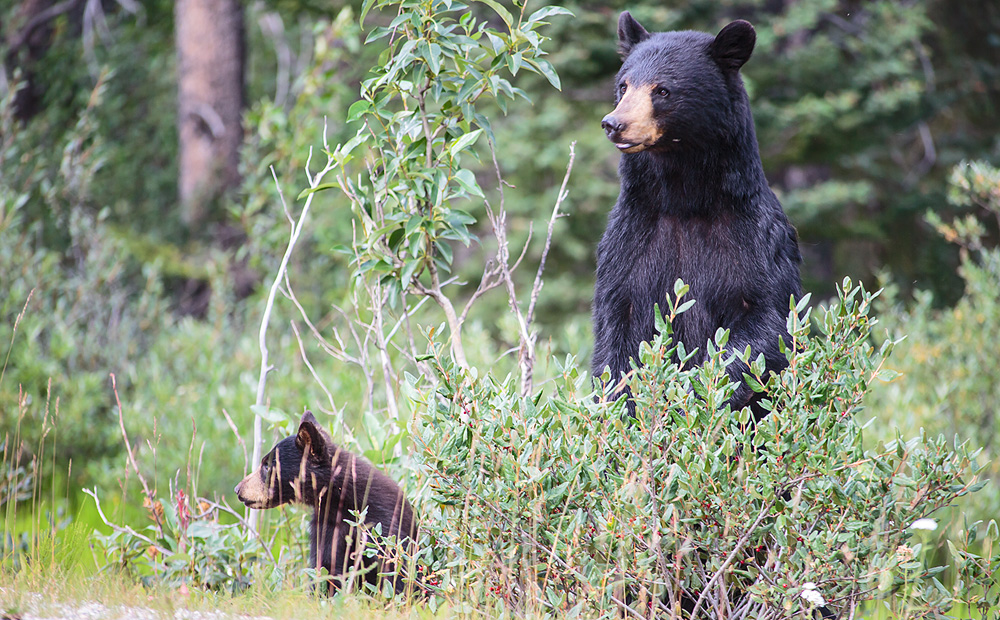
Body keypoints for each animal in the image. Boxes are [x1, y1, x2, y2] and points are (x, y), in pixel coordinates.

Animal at [236, 410, 416, 592]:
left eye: (267, 466)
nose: (238, 489)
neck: (342, 498)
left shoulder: (383, 525)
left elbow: (394, 570)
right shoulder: (327, 525)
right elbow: (327, 566)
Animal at [588, 12, 800, 416]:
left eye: (662, 90)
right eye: (624, 85)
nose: (613, 123)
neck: (684, 201)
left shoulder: (754, 238)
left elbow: (767, 323)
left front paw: (697, 392)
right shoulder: (629, 239)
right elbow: (615, 337)